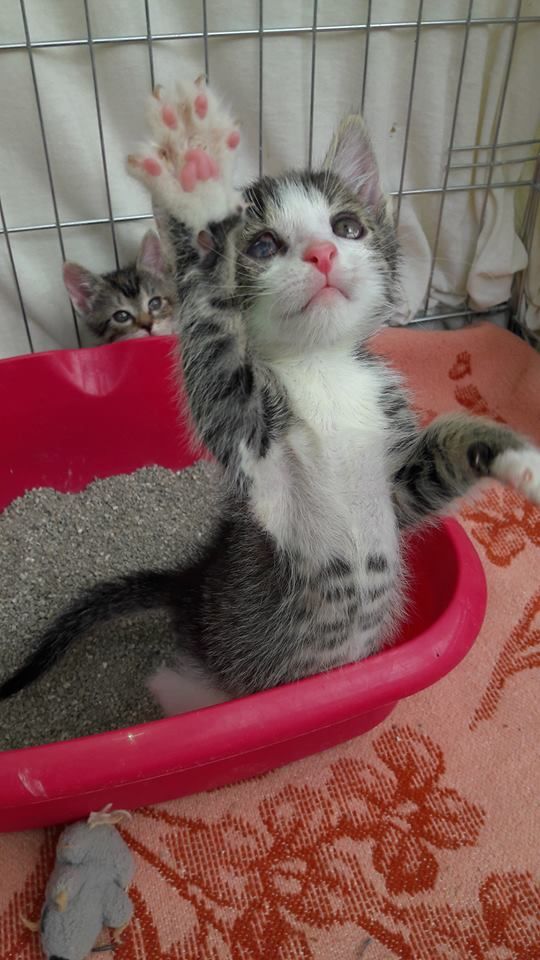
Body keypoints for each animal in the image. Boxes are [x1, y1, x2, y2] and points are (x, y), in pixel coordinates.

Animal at [2, 77, 539, 715]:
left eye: (348, 227)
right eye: (260, 246)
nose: (323, 253)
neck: (321, 370)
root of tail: (191, 583)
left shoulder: (398, 492)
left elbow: (441, 459)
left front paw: (512, 454)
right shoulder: (249, 445)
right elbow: (215, 358)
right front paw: (194, 185)